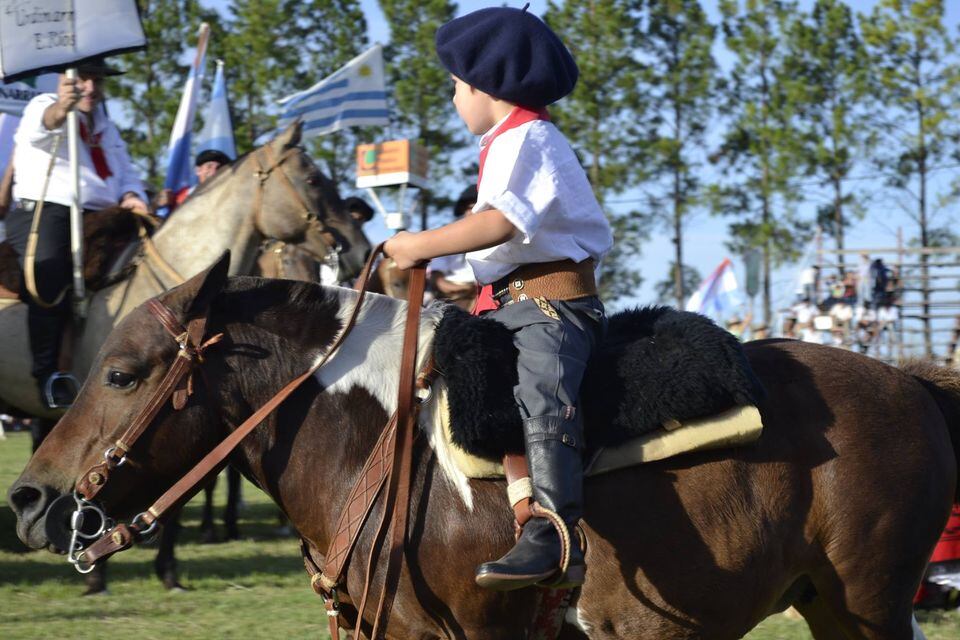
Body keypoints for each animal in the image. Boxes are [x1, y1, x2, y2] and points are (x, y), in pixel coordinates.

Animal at [7, 258, 960, 636]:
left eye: (122, 373)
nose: (30, 498)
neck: (371, 437)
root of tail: (913, 381)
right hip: (828, 603)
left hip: (871, 603)